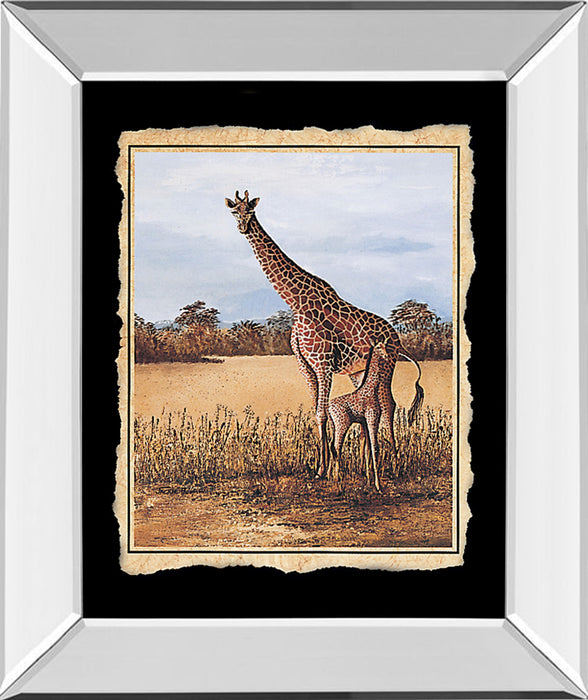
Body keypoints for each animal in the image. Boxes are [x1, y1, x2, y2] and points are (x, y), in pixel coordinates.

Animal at [225, 190, 424, 477]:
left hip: (387, 365)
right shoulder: (305, 365)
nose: (242, 227)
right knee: (370, 406)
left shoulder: (322, 363)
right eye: (234, 211)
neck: (296, 303)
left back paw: (396, 464)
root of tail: (397, 338)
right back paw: (364, 468)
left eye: (250, 211)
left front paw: (324, 468)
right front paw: (324, 465)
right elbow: (317, 412)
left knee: (389, 405)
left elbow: (322, 412)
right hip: (358, 371)